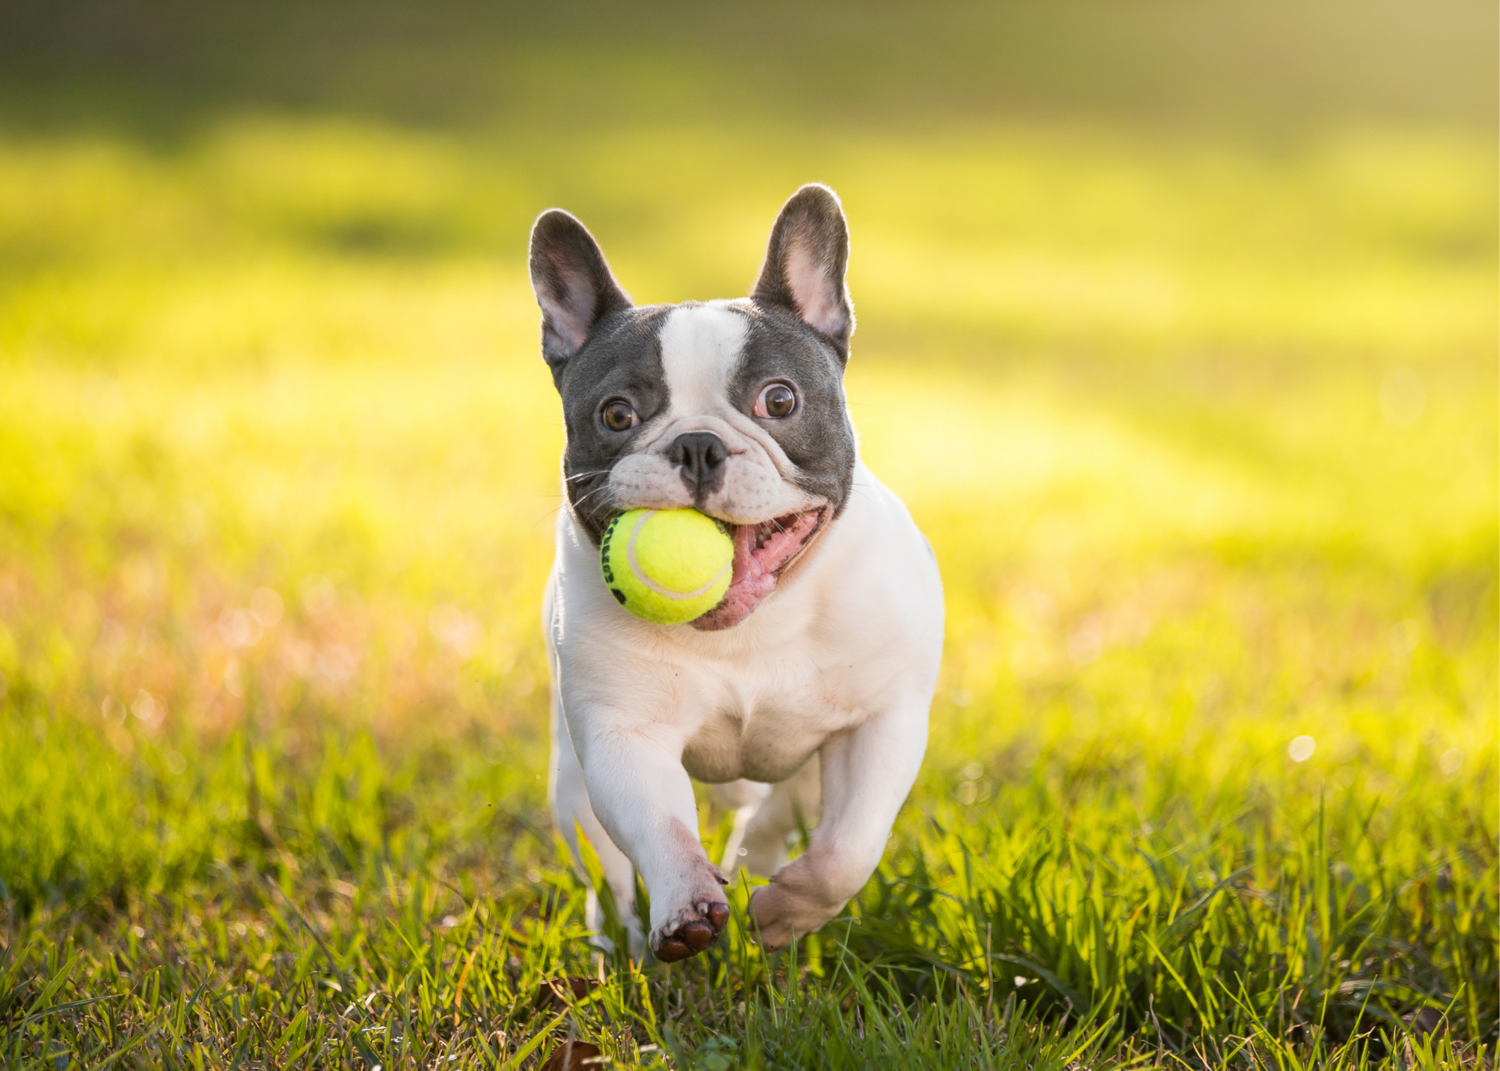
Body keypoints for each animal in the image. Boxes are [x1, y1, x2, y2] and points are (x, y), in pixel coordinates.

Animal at [534, 183, 942, 960]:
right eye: (616, 414)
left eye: (779, 401)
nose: (697, 444)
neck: (752, 626)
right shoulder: (623, 734)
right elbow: (659, 826)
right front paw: (685, 906)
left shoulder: (881, 722)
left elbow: (849, 847)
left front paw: (786, 913)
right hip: (570, 783)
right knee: (604, 865)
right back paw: (618, 937)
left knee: (782, 811)